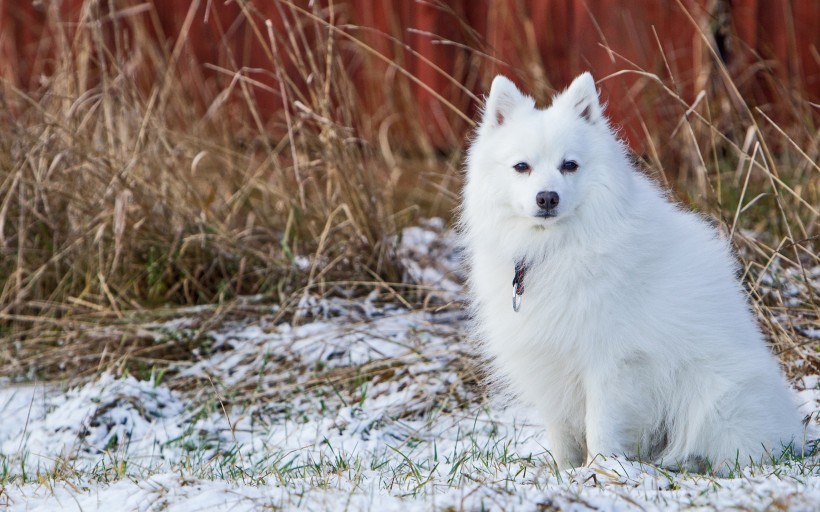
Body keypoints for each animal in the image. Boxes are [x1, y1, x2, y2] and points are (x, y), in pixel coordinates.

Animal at [458, 73, 804, 476]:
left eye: (570, 165)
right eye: (521, 167)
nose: (547, 198)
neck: (557, 249)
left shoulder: (610, 361)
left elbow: (600, 424)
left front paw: (601, 470)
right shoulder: (550, 363)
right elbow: (562, 433)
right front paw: (564, 473)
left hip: (717, 393)